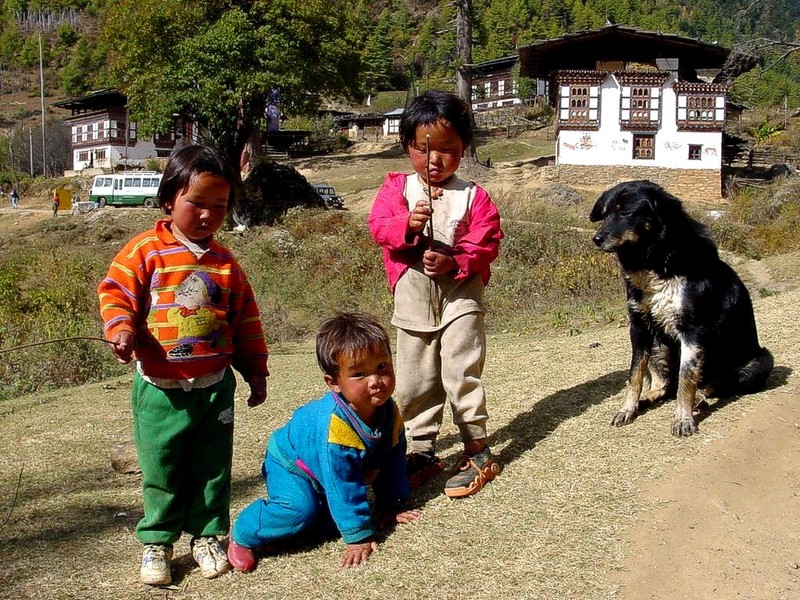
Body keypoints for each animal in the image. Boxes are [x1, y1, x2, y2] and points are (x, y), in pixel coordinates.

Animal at [592, 179, 772, 436]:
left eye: (625, 212)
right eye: (605, 214)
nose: (596, 239)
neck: (654, 260)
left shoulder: (692, 331)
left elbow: (686, 380)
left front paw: (683, 419)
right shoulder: (639, 328)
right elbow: (635, 375)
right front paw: (628, 409)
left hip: (761, 361)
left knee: (708, 385)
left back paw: (699, 399)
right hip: (657, 344)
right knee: (667, 384)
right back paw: (648, 398)